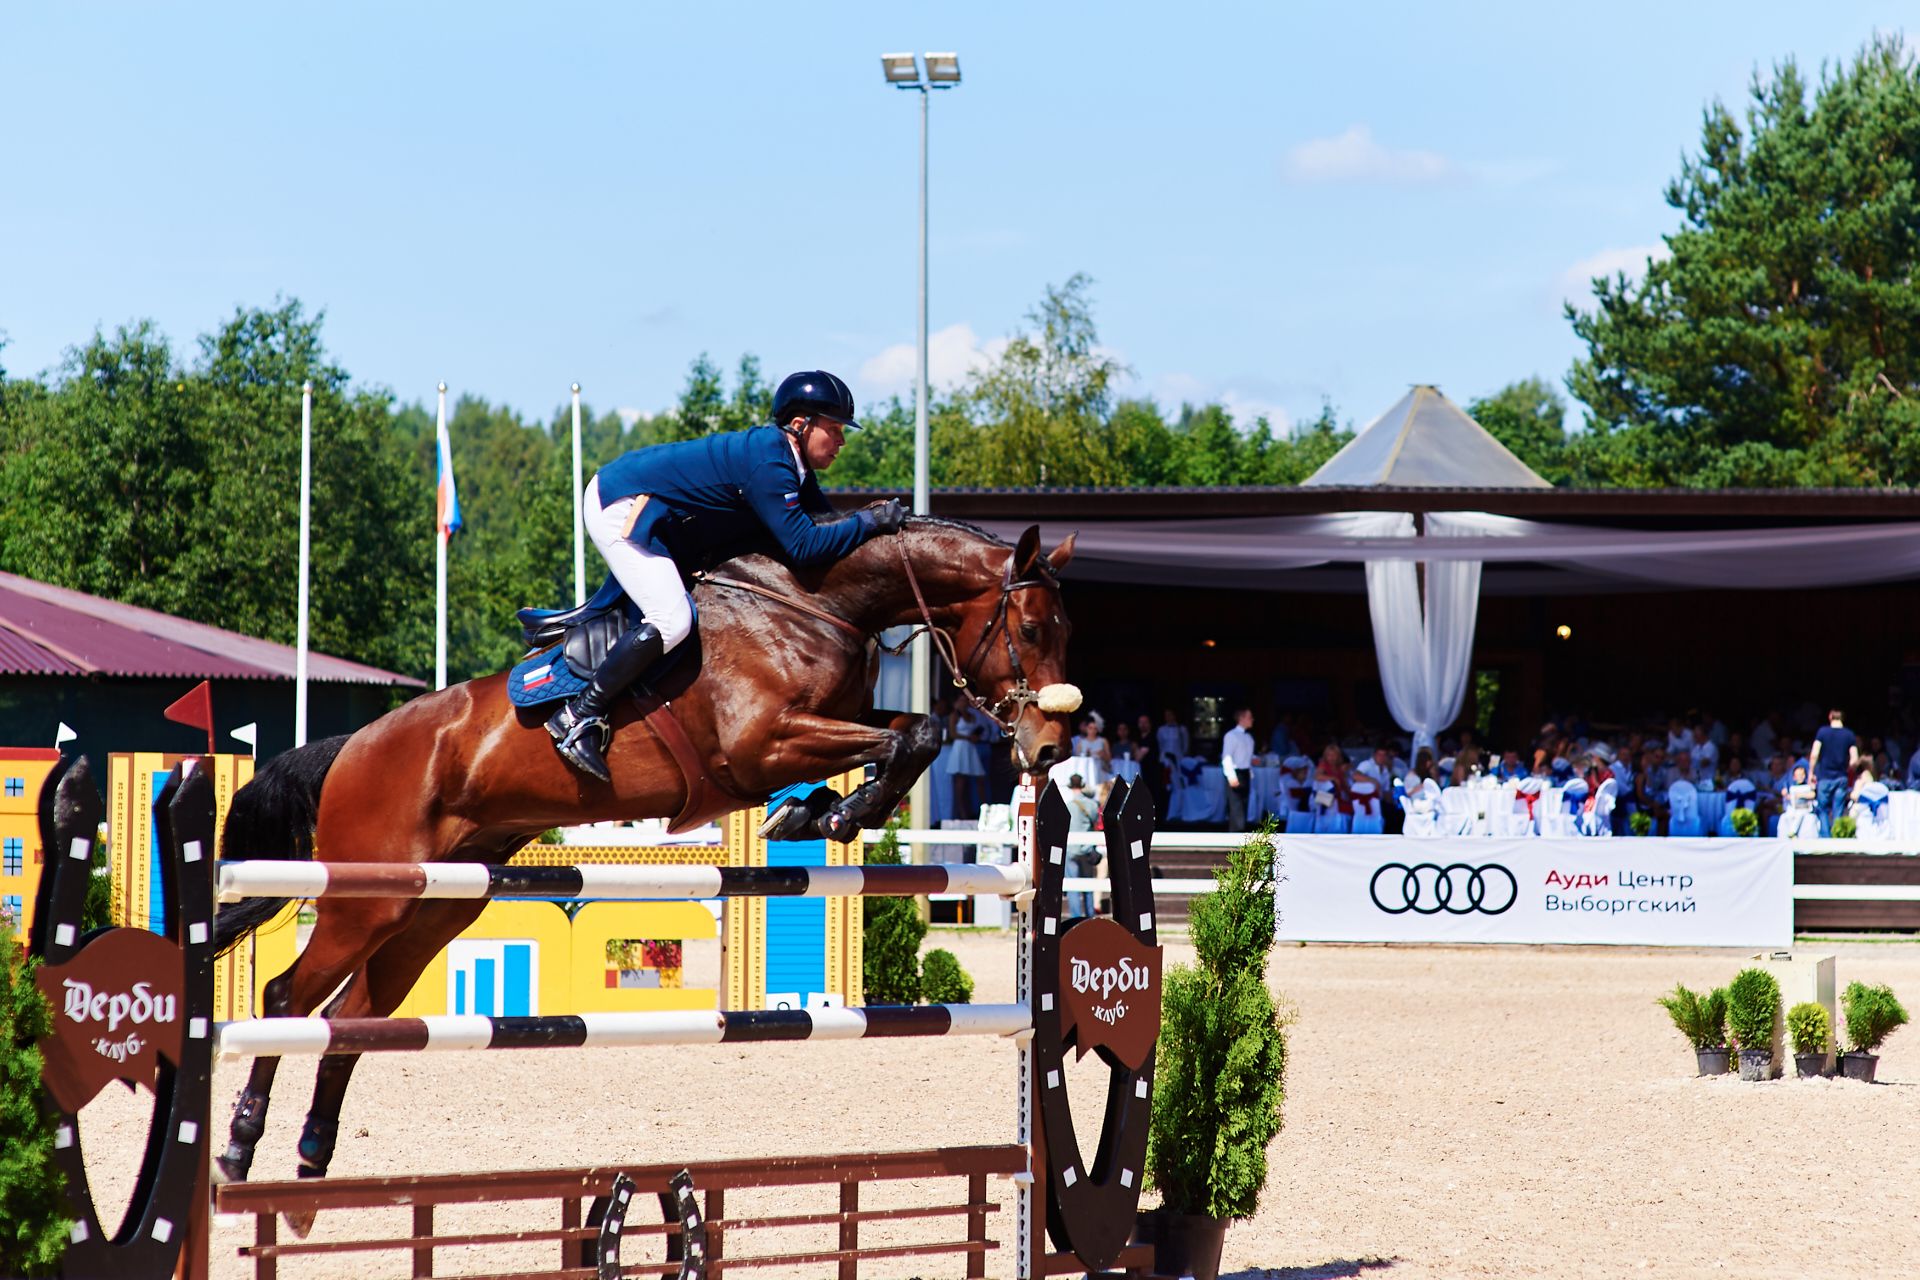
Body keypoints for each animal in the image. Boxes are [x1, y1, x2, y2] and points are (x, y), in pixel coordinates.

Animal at [210, 514, 1082, 1197]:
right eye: (1032, 630)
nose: (1047, 747)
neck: (815, 601)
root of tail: (353, 745)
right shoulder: (764, 743)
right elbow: (915, 734)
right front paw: (837, 810)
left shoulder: (822, 726)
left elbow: (908, 733)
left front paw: (821, 809)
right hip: (370, 898)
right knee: (288, 997)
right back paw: (241, 1148)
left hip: (437, 905)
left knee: (354, 1016)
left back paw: (315, 1154)